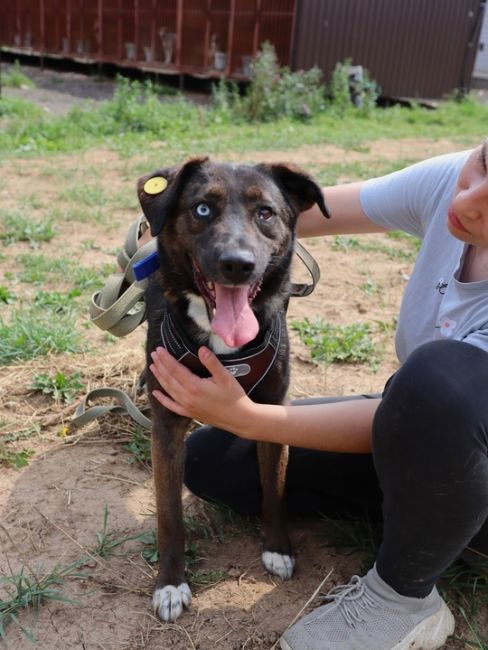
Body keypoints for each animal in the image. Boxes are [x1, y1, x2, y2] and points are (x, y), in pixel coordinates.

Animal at [135, 156, 330, 616]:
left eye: (266, 213)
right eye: (203, 209)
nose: (236, 264)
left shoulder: (273, 411)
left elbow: (274, 488)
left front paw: (278, 548)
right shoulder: (166, 426)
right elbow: (169, 515)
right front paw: (170, 583)